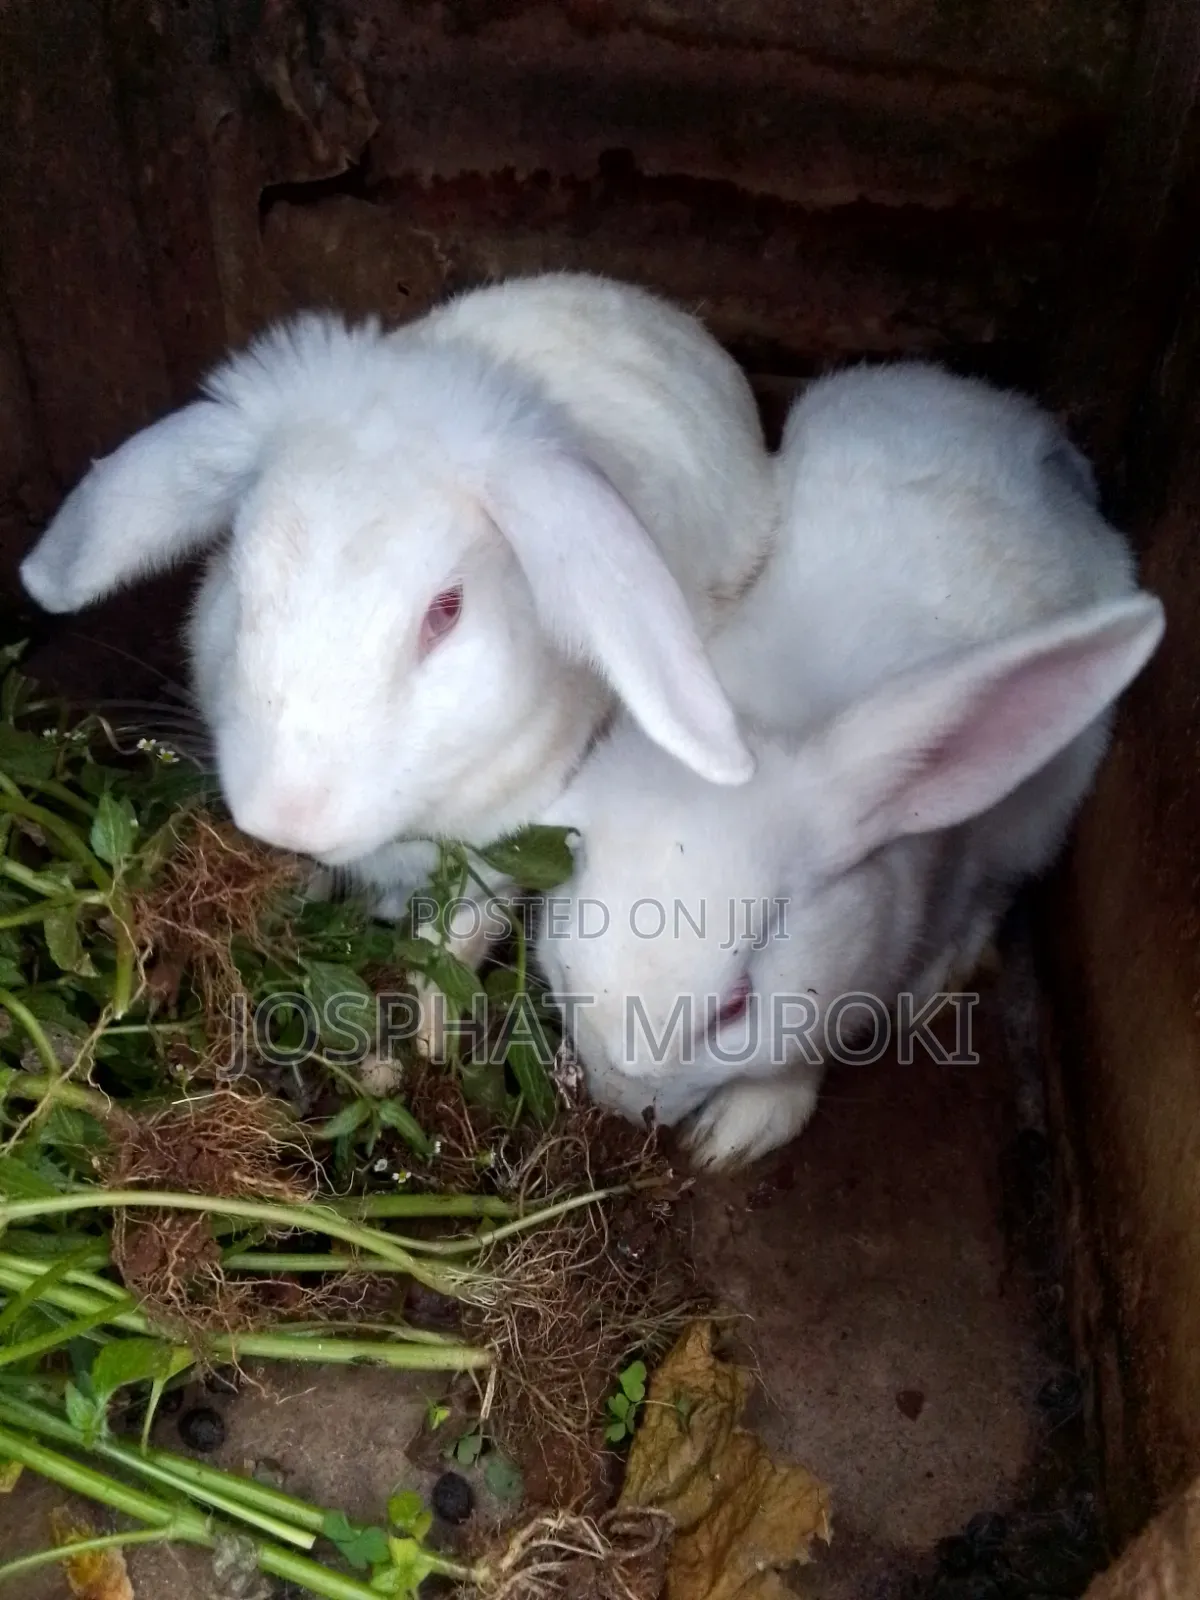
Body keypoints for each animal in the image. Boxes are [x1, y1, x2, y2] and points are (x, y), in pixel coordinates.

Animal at [532, 362, 1166, 1170]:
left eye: (736, 1005)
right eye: (569, 943)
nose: (620, 1101)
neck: (773, 712)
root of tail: (1028, 430)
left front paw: (735, 1135)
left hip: (1037, 812)